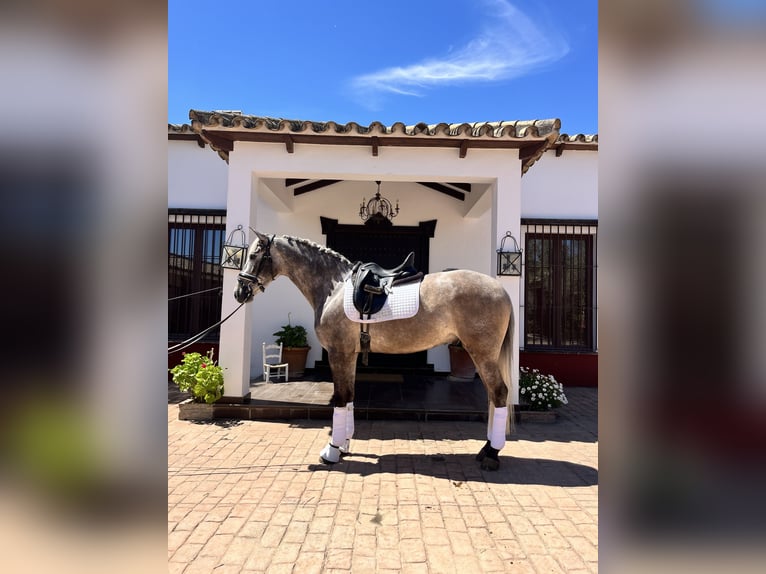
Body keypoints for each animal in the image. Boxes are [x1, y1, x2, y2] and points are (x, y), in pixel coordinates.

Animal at [234, 232, 514, 470]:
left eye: (254, 255)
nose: (239, 292)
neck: (334, 288)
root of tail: (501, 289)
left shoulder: (338, 352)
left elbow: (340, 398)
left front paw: (332, 450)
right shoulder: (349, 354)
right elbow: (349, 397)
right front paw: (344, 445)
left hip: (482, 353)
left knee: (499, 393)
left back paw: (491, 454)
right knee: (493, 396)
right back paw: (486, 449)